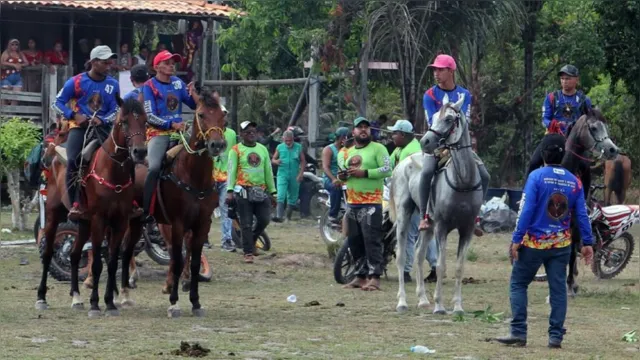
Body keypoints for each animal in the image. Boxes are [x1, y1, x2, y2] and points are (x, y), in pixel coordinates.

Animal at [36, 97, 149, 316]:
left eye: (145, 122)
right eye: (123, 122)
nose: (140, 151)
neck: (112, 171)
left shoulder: (120, 221)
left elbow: (112, 262)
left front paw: (110, 302)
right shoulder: (99, 220)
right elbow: (97, 263)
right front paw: (96, 304)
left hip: (83, 222)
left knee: (73, 254)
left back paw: (76, 298)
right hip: (54, 214)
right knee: (47, 254)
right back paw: (41, 297)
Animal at [122, 86, 228, 316]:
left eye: (223, 114)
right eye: (201, 114)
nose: (217, 144)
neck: (193, 176)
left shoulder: (202, 224)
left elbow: (194, 261)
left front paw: (195, 301)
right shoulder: (179, 223)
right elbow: (178, 259)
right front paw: (174, 302)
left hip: (145, 222)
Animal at [388, 94, 482, 314]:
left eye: (449, 119)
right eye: (433, 117)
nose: (425, 141)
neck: (462, 181)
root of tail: (402, 163)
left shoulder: (467, 228)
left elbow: (459, 267)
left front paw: (457, 306)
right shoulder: (442, 226)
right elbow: (440, 265)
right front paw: (439, 305)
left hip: (428, 225)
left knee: (419, 253)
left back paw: (423, 299)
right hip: (405, 215)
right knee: (402, 256)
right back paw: (402, 302)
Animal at [556, 108, 616, 296]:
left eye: (606, 127)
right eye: (594, 128)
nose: (613, 149)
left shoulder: (576, 222)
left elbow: (571, 251)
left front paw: (570, 284)